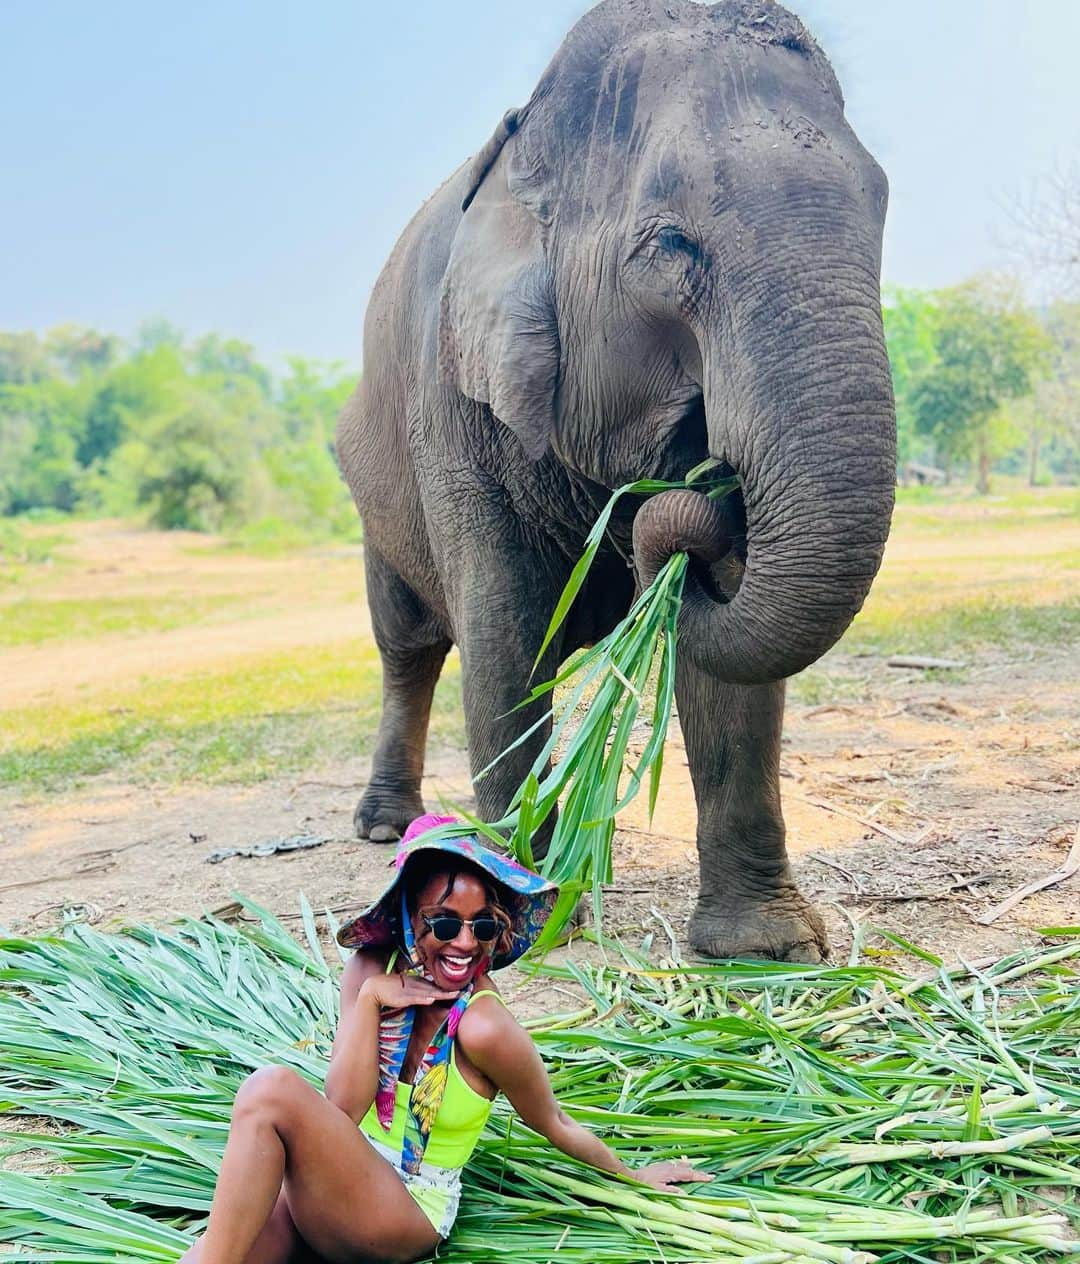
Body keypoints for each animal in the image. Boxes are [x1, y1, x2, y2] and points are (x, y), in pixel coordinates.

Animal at [338, 0, 895, 955]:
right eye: (671, 244)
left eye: (882, 203)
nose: (697, 503)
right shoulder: (450, 398)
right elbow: (504, 626)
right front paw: (516, 911)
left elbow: (726, 650)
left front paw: (765, 950)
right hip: (377, 500)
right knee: (408, 648)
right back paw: (387, 826)